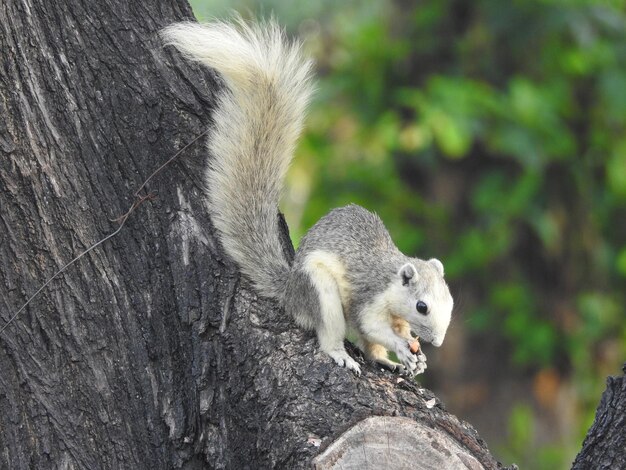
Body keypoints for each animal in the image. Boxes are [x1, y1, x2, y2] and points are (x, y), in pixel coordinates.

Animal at [160, 20, 454, 376]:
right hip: (321, 291)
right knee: (333, 331)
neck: (392, 281)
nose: (437, 341)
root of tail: (291, 291)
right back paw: (342, 353)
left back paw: (385, 360)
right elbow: (371, 325)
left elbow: (385, 332)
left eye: (450, 300)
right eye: (422, 306)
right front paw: (402, 347)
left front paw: (413, 354)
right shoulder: (369, 297)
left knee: (370, 350)